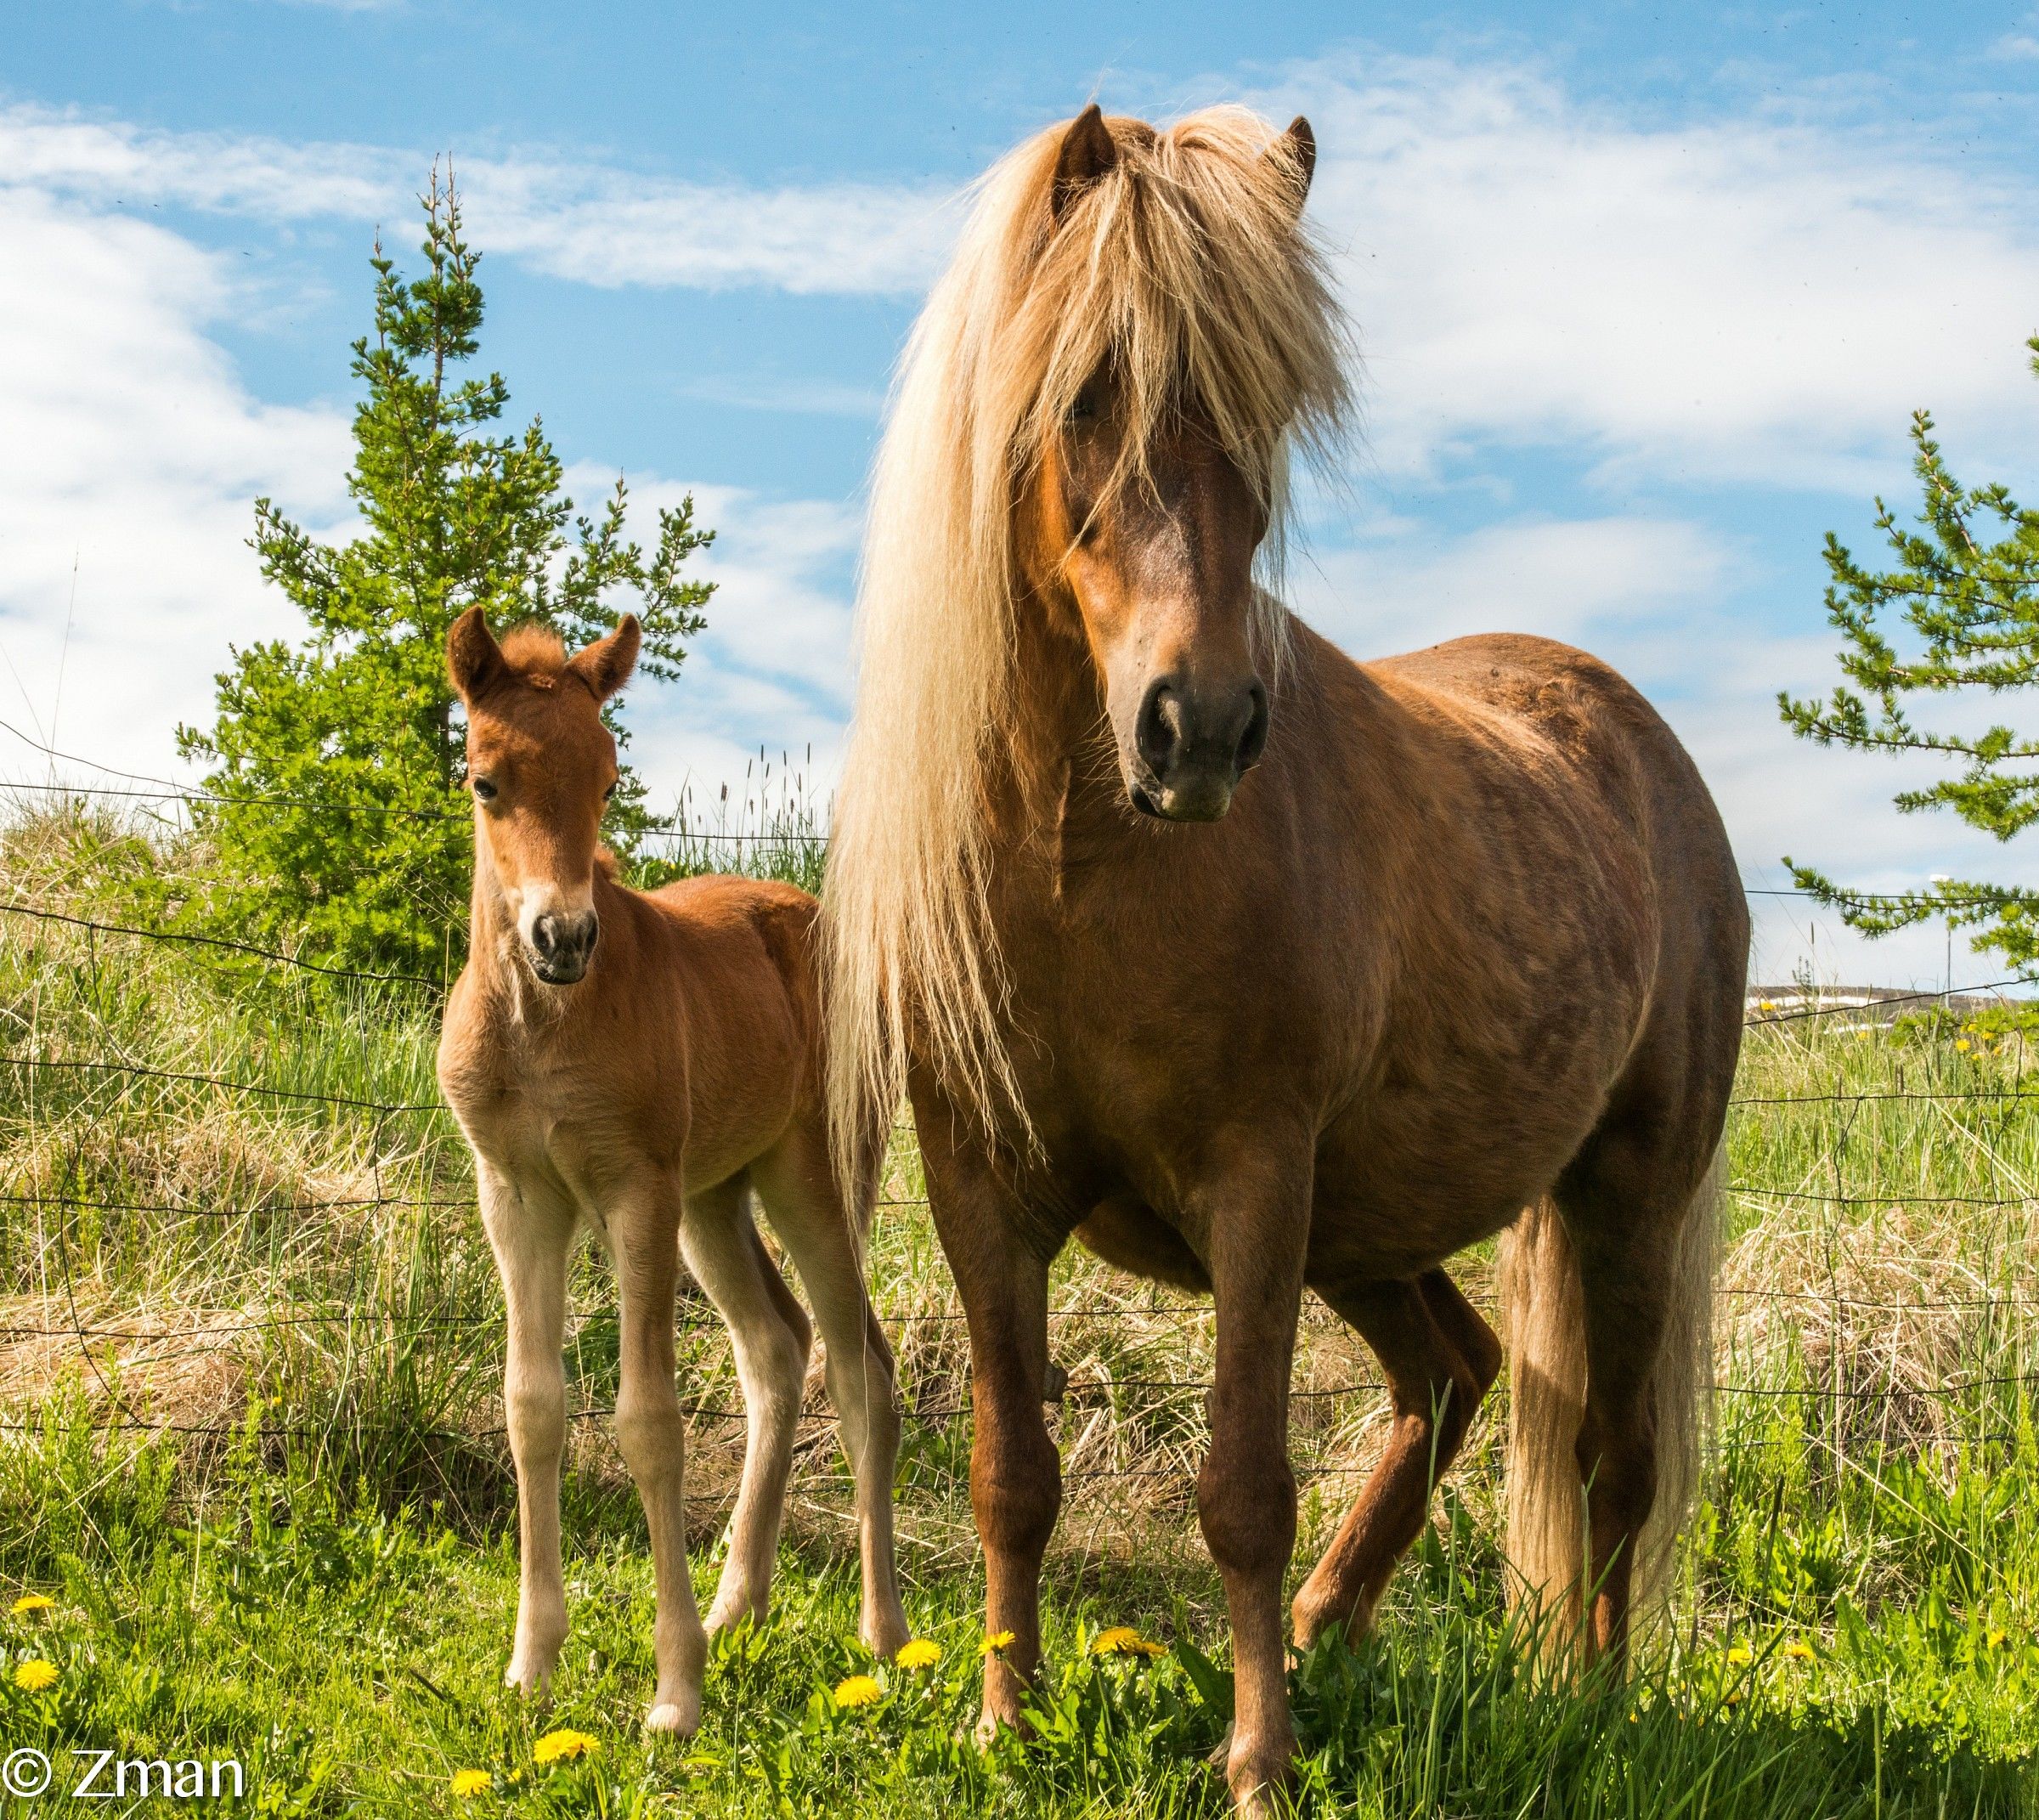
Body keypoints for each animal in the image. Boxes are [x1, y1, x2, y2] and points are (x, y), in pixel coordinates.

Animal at [436, 607, 910, 1736]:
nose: (562, 937)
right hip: (714, 1200)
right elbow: (533, 1408)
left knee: (862, 1367)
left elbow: (647, 1422)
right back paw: (741, 1603)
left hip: (814, 1180)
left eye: (610, 781)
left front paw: (676, 1694)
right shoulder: (517, 1196)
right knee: (777, 1349)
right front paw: (532, 1664)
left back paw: (881, 1634)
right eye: (483, 779)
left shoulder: (632, 1190)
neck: (541, 1028)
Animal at [821, 104, 1747, 1808]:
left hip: (1619, 1198)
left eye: (1264, 413)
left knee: (1614, 1458)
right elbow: (1009, 1469)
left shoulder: (1255, 1181)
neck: (1087, 872)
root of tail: (1632, 739)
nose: (1201, 728)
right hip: (1372, 1227)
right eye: (1086, 395)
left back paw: (1590, 1707)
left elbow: (1242, 1484)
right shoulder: (983, 1187)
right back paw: (1333, 1621)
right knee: (1453, 1371)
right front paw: (1004, 1721)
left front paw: (1257, 1758)